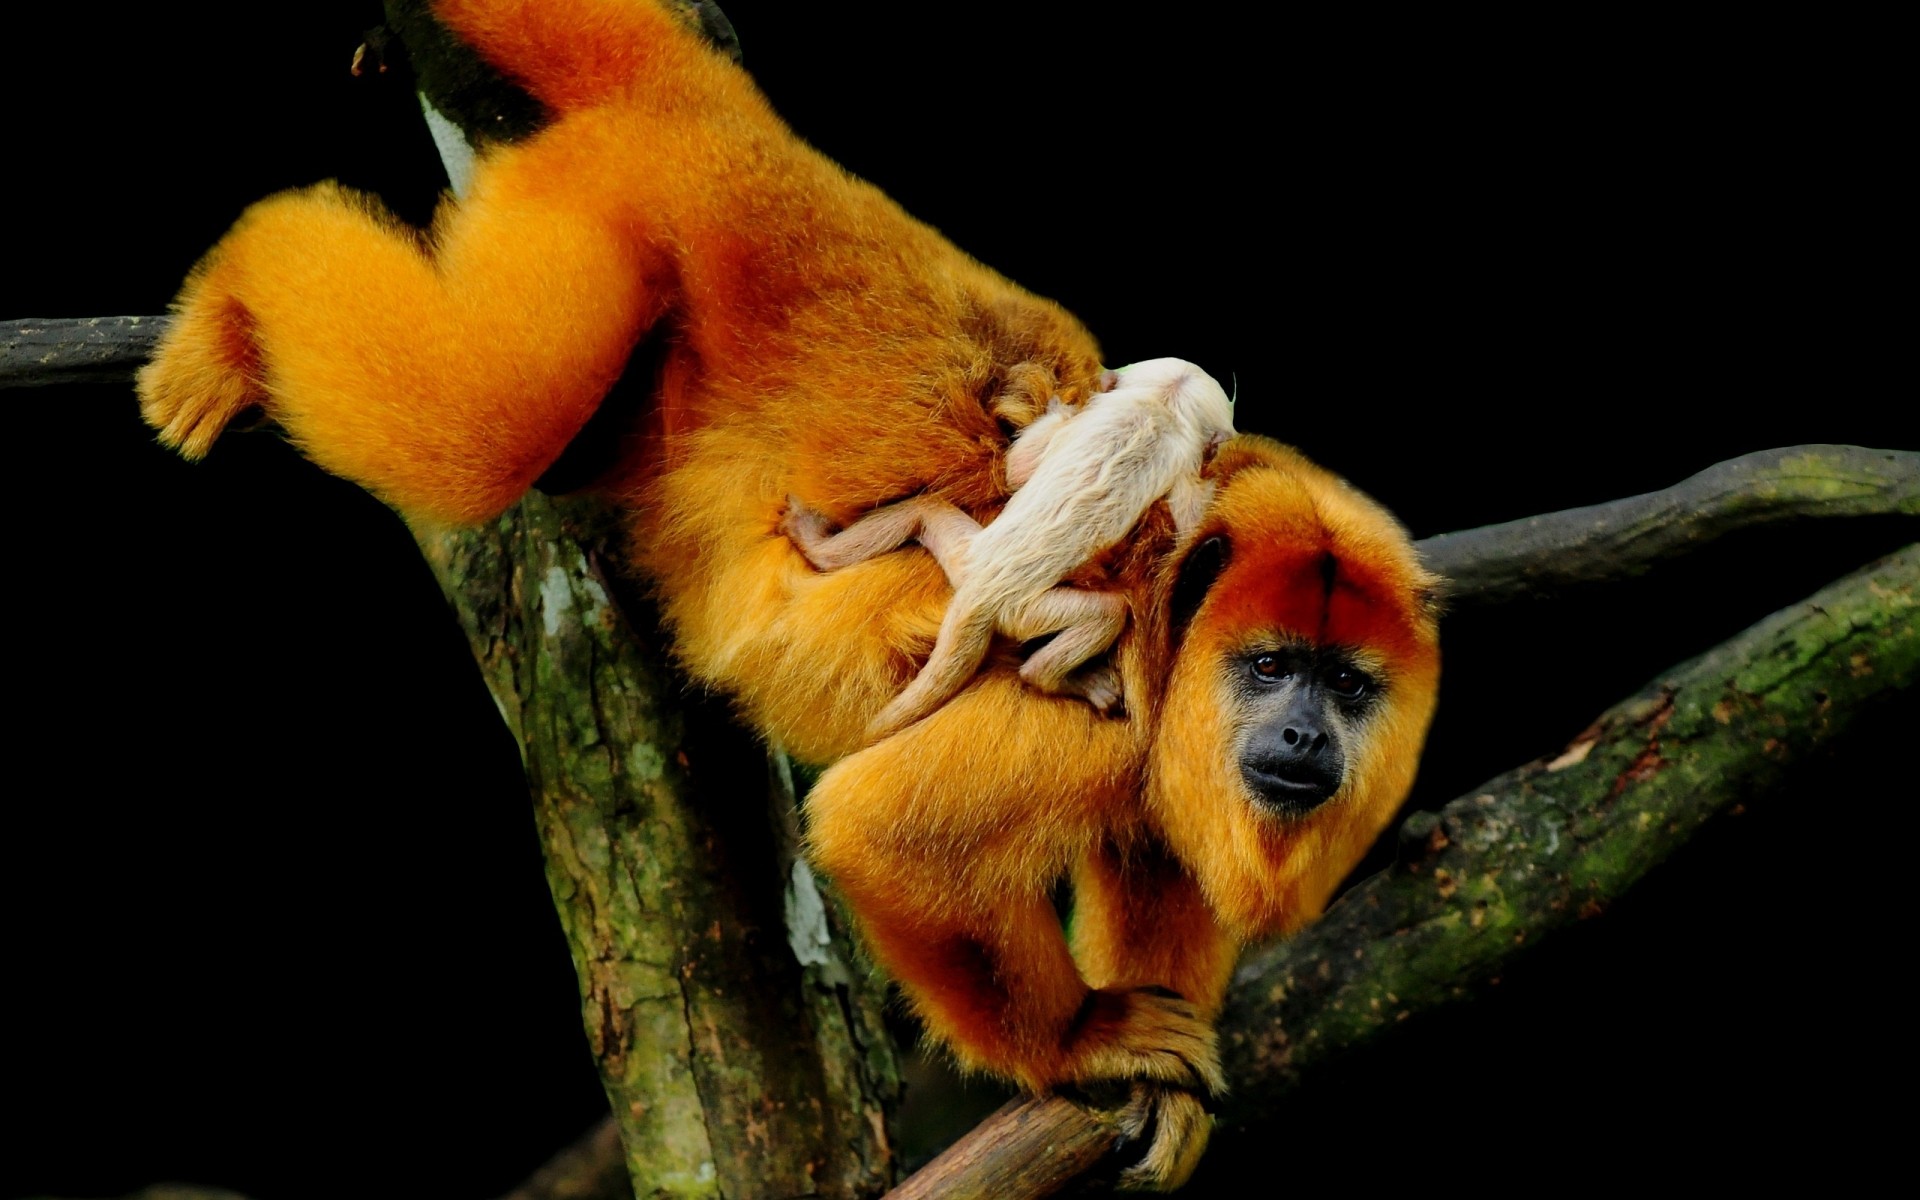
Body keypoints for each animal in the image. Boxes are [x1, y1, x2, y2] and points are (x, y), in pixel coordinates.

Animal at [781, 356, 1237, 740]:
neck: (1163, 401)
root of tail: (977, 595)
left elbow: (1017, 471)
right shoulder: (1179, 458)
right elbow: (1185, 525)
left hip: (964, 554)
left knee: (926, 509)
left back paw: (815, 545)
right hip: (1021, 612)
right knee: (1108, 612)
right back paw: (1050, 677)